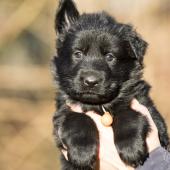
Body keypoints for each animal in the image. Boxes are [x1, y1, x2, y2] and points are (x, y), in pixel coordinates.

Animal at [52, 0, 169, 169]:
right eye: (78, 53)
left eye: (110, 56)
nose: (91, 81)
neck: (100, 106)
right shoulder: (62, 113)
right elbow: (76, 118)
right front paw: (82, 153)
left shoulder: (148, 109)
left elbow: (128, 114)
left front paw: (131, 148)